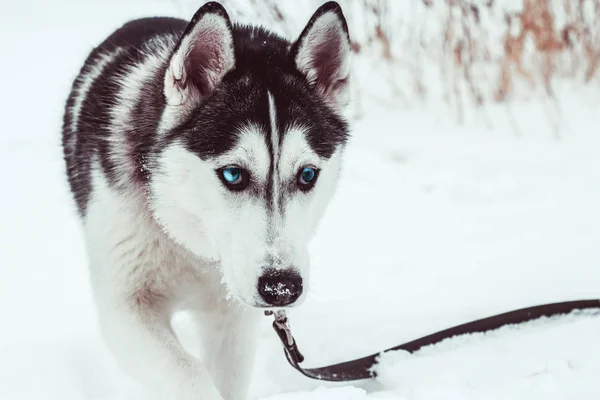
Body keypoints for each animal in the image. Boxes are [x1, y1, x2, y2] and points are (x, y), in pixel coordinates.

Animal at [61, 1, 352, 398]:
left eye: (307, 175)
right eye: (232, 174)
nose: (282, 288)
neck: (191, 241)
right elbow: (189, 373)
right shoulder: (126, 308)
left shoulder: (232, 317)